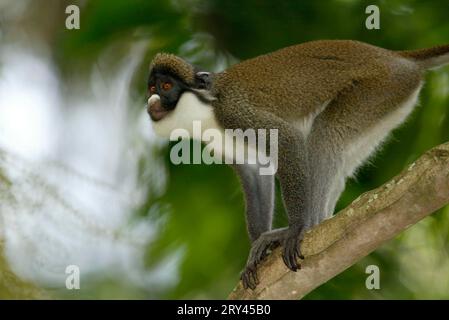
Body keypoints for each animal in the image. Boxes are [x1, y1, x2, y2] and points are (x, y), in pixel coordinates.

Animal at [144, 40, 448, 290]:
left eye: (166, 87)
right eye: (151, 88)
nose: (151, 102)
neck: (206, 111)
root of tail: (398, 57)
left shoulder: (234, 112)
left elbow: (287, 141)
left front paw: (296, 228)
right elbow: (255, 174)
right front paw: (259, 250)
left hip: (382, 88)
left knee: (326, 132)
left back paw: (312, 225)